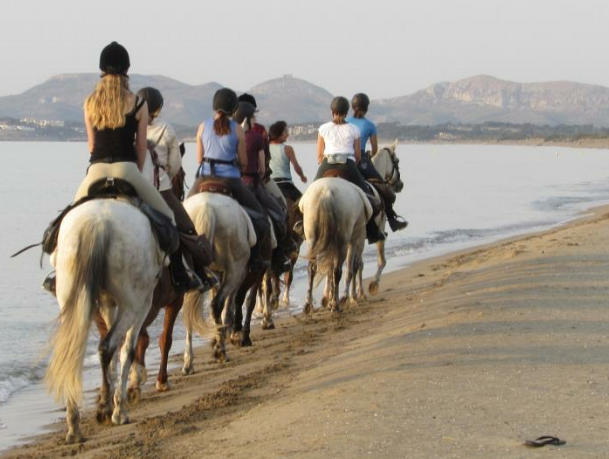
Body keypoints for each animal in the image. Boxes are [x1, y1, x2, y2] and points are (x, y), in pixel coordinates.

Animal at [45, 199, 164, 444]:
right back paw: (110, 411)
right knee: (107, 346)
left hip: (73, 300)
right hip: (132, 305)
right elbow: (126, 351)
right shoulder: (142, 305)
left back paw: (75, 425)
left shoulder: (108, 304)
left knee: (75, 351)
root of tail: (98, 223)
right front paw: (117, 409)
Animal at [180, 192, 256, 372]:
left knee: (189, 313)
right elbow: (229, 308)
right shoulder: (236, 275)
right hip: (235, 271)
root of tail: (207, 208)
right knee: (217, 304)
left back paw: (188, 362)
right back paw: (221, 351)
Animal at [298, 178, 370, 314]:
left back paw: (308, 304)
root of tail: (325, 193)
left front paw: (329, 299)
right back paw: (336, 304)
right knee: (338, 271)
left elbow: (329, 270)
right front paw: (348, 297)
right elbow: (352, 267)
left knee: (312, 268)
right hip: (343, 243)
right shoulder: (356, 239)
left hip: (312, 239)